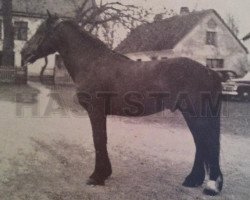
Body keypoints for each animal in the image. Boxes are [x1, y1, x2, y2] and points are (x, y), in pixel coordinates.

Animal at [22, 12, 223, 195]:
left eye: (41, 31)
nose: (24, 53)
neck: (92, 62)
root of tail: (210, 72)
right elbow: (101, 140)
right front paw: (104, 173)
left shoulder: (96, 111)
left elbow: (98, 140)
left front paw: (97, 176)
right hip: (192, 114)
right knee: (201, 142)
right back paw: (194, 180)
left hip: (196, 113)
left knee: (207, 142)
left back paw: (211, 186)